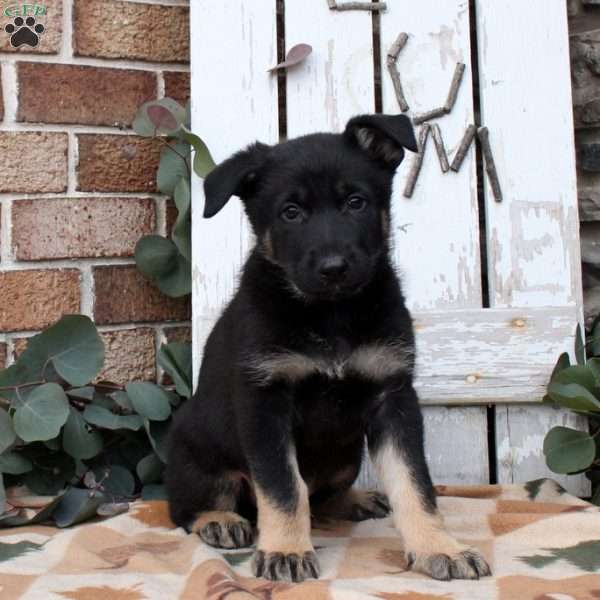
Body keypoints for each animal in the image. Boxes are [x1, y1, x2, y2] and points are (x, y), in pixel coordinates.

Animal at [165, 115, 492, 584]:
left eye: (355, 202)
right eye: (291, 212)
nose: (334, 268)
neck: (330, 314)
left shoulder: (392, 397)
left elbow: (415, 482)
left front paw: (439, 548)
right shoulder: (265, 402)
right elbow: (284, 486)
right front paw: (285, 550)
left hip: (346, 456)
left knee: (322, 496)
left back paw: (353, 500)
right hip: (198, 450)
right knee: (188, 506)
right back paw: (219, 519)